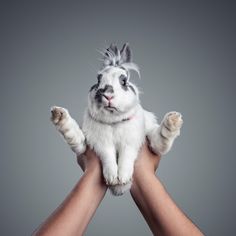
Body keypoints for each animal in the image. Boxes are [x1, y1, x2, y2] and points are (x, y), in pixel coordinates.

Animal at [50, 42, 183, 195]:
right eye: (98, 79)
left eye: (124, 81)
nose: (108, 94)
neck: (113, 122)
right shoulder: (96, 144)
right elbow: (104, 154)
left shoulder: (133, 143)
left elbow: (133, 153)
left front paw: (173, 120)